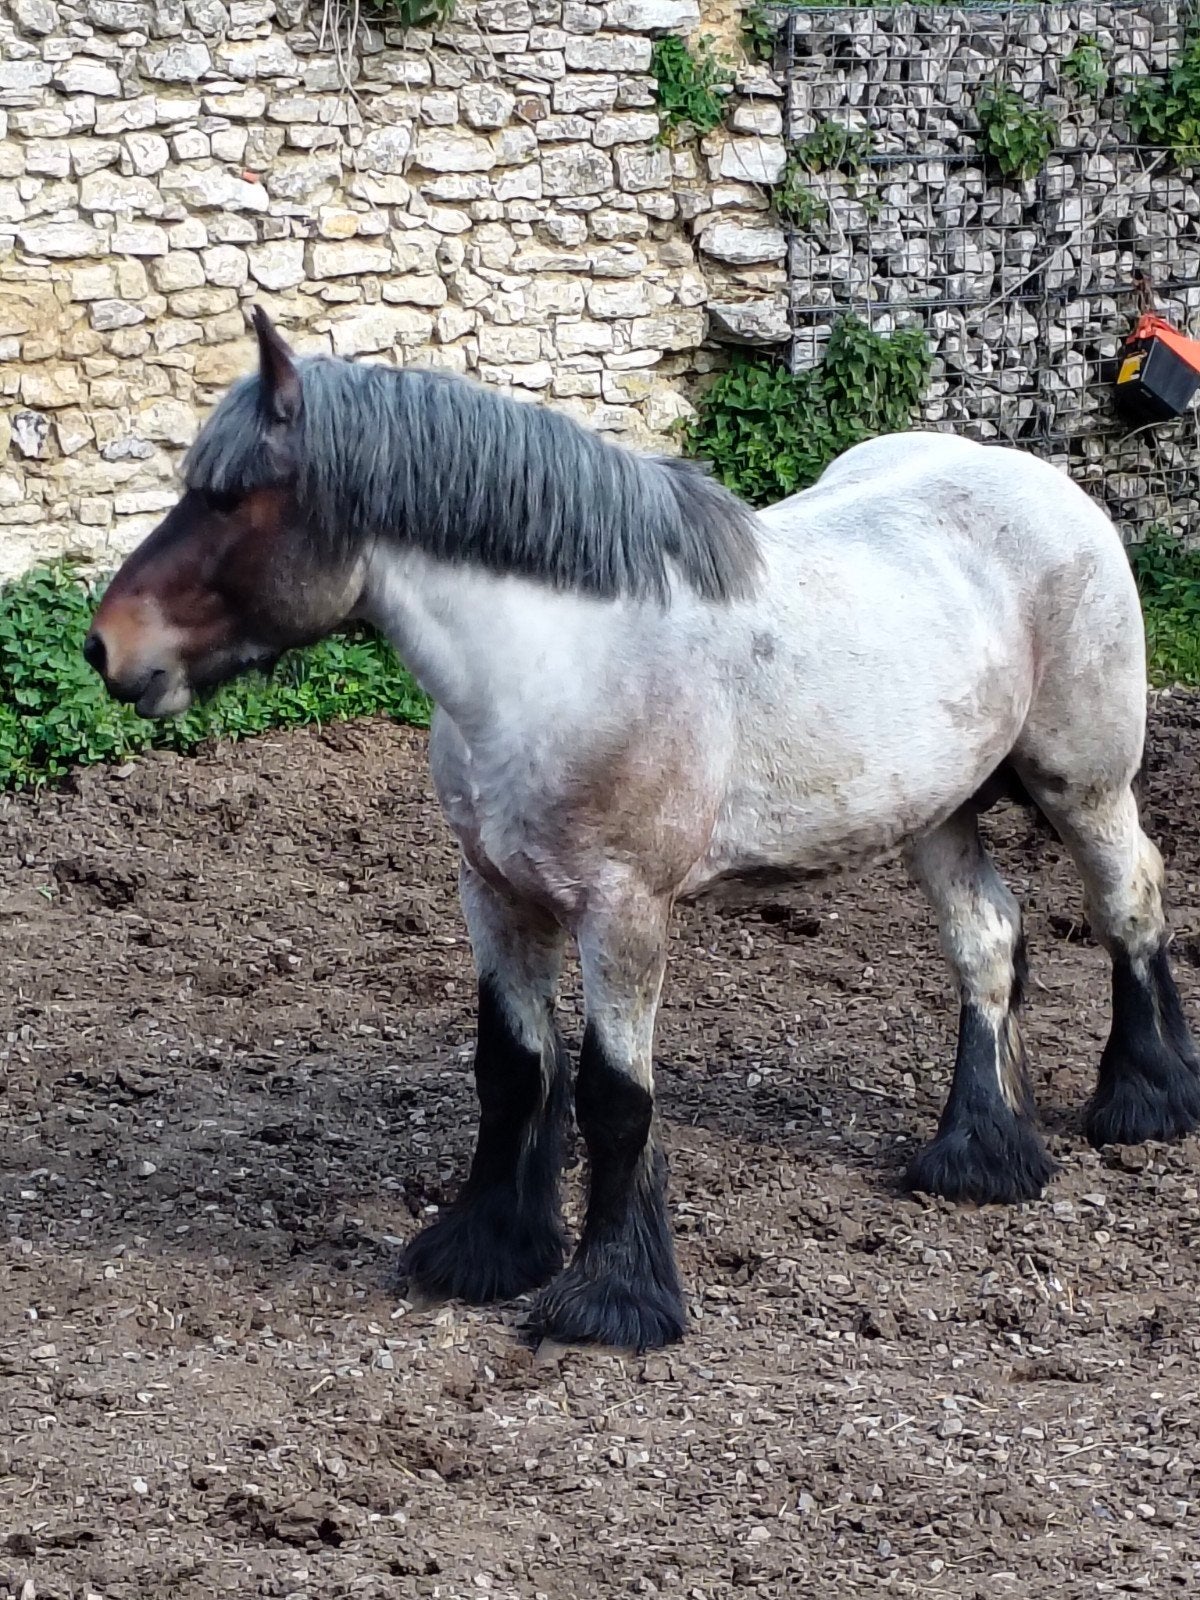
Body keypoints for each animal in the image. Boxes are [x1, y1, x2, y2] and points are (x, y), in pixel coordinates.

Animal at [84, 308, 1200, 1351]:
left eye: (231, 498)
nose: (107, 648)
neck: (561, 661)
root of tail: (1044, 482)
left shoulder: (623, 912)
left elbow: (614, 1097)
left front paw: (612, 1298)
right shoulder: (495, 895)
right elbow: (512, 1071)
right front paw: (488, 1250)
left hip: (1083, 784)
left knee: (1130, 904)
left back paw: (1146, 1103)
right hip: (938, 811)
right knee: (988, 943)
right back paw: (980, 1154)